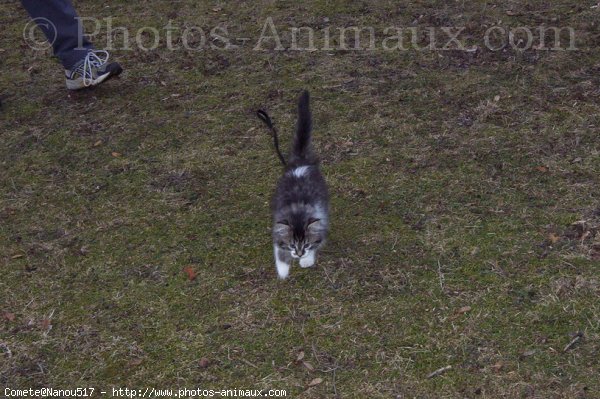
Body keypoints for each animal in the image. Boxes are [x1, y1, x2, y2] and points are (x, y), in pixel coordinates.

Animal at [270, 91, 328, 280]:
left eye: (306, 245)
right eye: (292, 245)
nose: (299, 254)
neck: (297, 212)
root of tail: (300, 162)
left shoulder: (321, 220)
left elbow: (317, 242)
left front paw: (307, 260)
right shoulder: (277, 227)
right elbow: (278, 250)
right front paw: (282, 270)